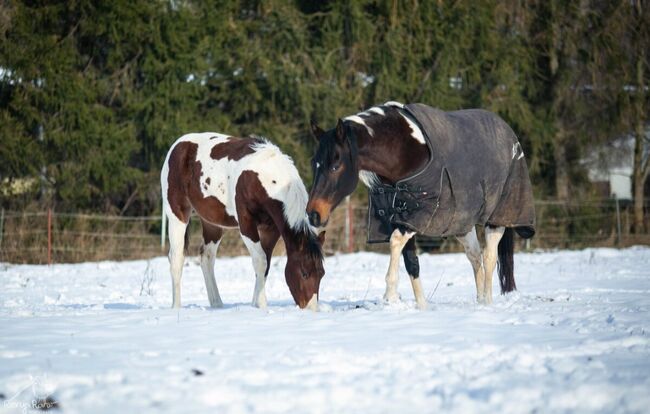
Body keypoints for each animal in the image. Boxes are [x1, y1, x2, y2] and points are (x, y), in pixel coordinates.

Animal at [162, 133, 324, 310]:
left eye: (321, 274)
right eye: (304, 273)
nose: (311, 309)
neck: (265, 177)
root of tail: (178, 145)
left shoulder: (270, 229)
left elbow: (265, 264)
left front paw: (255, 304)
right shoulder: (246, 225)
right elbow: (260, 261)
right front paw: (262, 305)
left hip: (212, 224)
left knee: (206, 258)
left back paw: (217, 304)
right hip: (177, 215)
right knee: (176, 258)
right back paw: (176, 307)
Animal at [306, 102, 536, 308]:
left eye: (335, 165)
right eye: (314, 164)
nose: (313, 214)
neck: (404, 151)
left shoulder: (419, 216)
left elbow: (395, 242)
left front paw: (390, 295)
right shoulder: (401, 216)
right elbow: (412, 263)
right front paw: (422, 308)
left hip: (497, 219)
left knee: (489, 257)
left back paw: (487, 304)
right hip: (462, 224)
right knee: (475, 257)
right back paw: (479, 302)